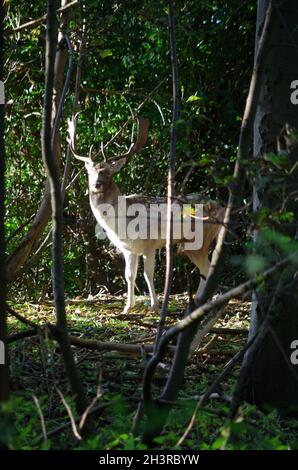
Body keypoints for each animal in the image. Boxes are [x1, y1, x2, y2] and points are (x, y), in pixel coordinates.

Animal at [67, 114, 221, 312]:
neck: (121, 224)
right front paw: (127, 307)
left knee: (207, 269)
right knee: (206, 269)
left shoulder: (150, 244)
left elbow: (148, 274)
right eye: (90, 172)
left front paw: (154, 305)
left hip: (198, 241)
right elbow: (129, 275)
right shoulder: (128, 249)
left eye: (108, 172)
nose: (97, 184)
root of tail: (221, 207)